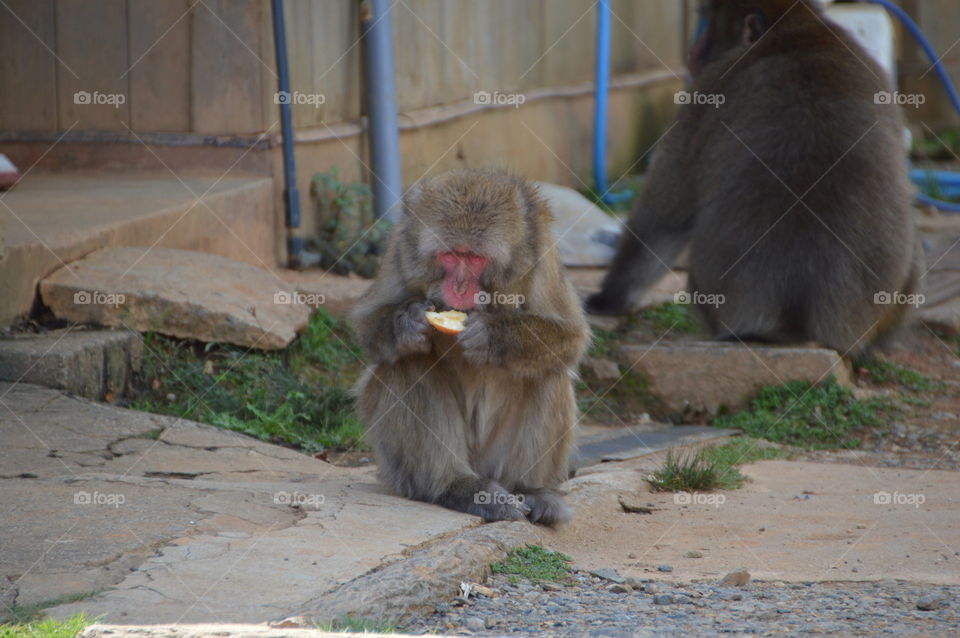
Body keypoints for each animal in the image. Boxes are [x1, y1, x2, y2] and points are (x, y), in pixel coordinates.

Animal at [350, 169, 590, 526]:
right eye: (451, 255)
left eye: (474, 258)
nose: (460, 286)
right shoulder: (401, 251)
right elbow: (366, 322)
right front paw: (407, 323)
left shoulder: (542, 257)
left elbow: (571, 336)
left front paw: (492, 336)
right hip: (402, 469)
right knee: (409, 365)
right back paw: (457, 486)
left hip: (494, 461)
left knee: (548, 372)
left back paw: (531, 490)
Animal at [586, 0, 921, 356]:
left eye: (708, 22)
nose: (694, 49)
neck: (797, 30)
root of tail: (794, 319)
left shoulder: (705, 89)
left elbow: (662, 220)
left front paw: (609, 298)